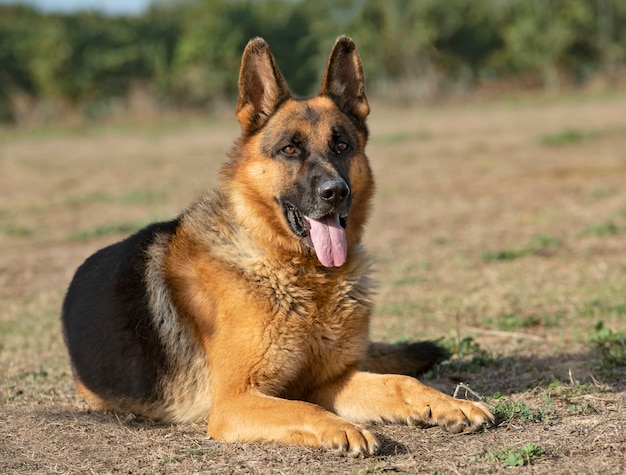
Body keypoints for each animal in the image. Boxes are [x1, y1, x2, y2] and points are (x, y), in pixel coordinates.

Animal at [63, 35, 492, 456]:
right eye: (290, 149)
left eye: (341, 146)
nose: (335, 193)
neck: (299, 273)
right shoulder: (234, 402)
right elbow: (304, 407)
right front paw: (343, 428)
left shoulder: (329, 380)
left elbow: (399, 382)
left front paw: (450, 403)